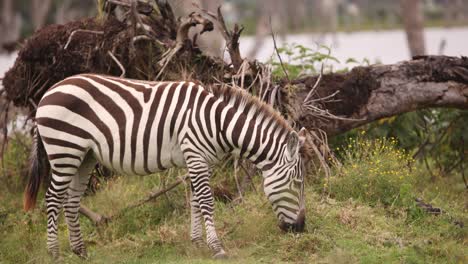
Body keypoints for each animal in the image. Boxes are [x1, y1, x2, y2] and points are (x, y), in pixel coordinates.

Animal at [22, 73, 308, 258]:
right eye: (297, 183)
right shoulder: (196, 156)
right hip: (64, 150)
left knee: (71, 200)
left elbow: (195, 201)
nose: (301, 229)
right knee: (52, 198)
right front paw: (217, 248)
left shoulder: (199, 160)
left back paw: (80, 251)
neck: (218, 123)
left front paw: (197, 243)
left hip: (85, 156)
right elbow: (206, 201)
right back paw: (55, 254)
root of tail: (47, 93)